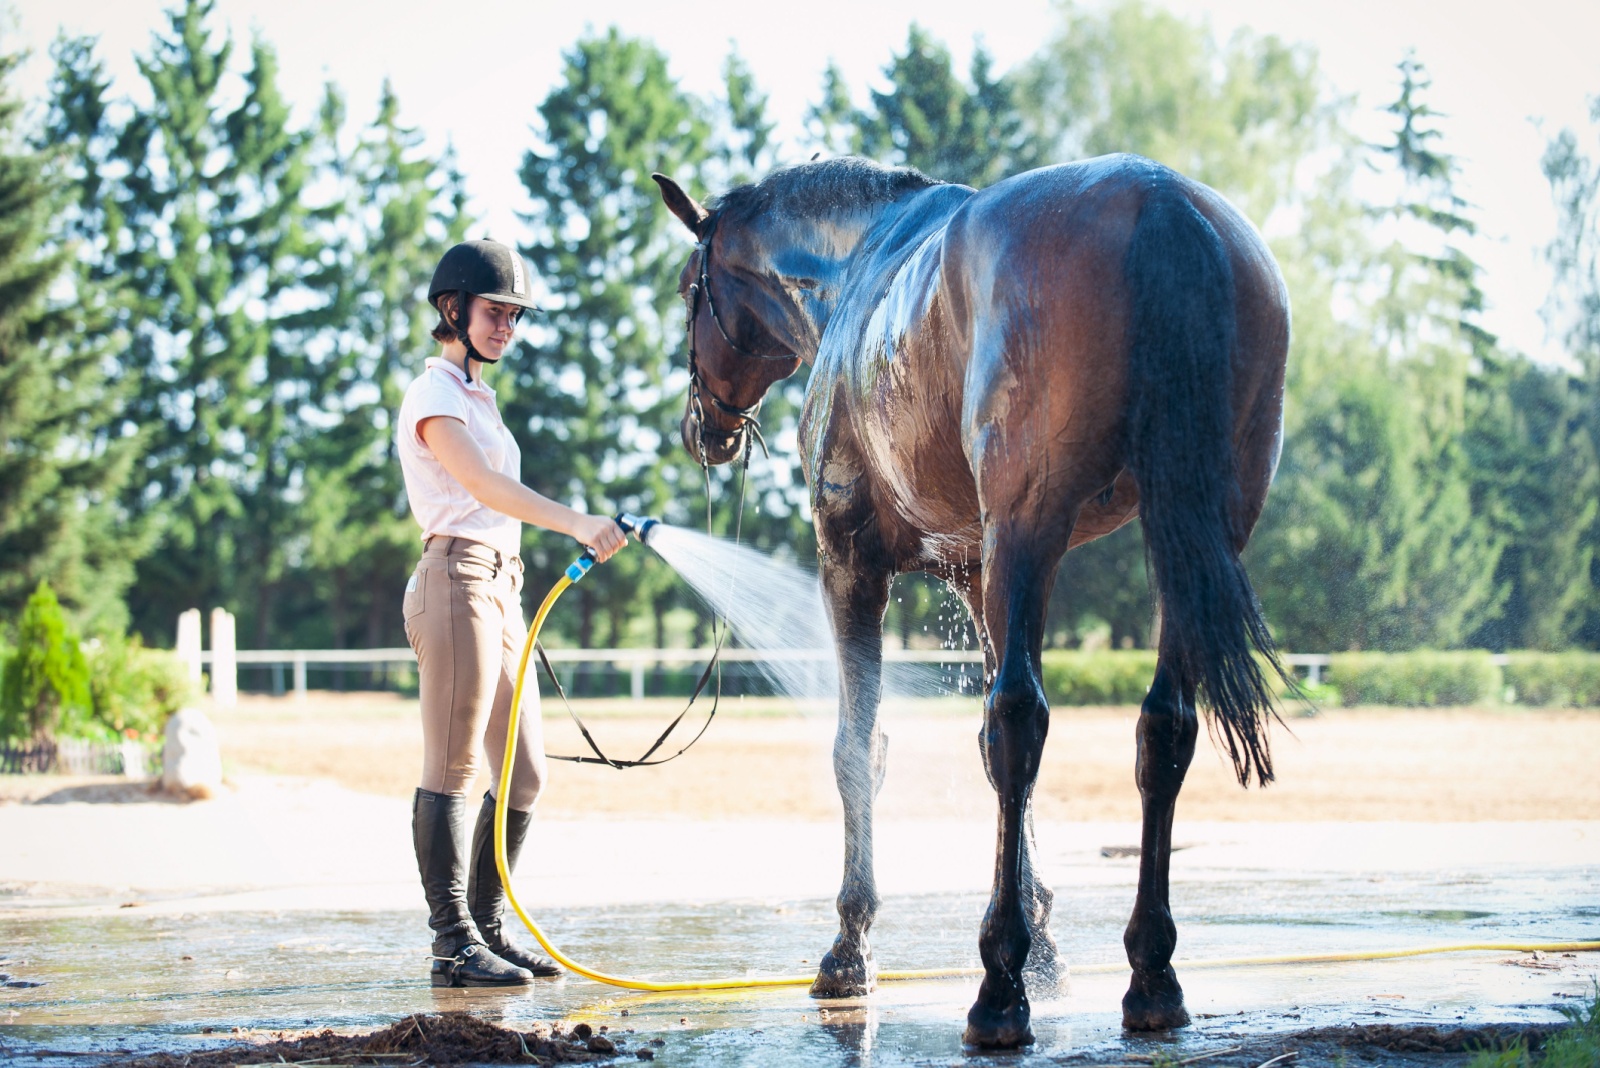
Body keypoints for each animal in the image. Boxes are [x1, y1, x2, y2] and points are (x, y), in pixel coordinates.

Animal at [649, 154, 1286, 1048]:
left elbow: (862, 748)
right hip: (1193, 534)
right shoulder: (983, 576)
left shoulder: (852, 562)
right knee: (1161, 727)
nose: (701, 428)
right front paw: (1046, 942)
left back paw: (998, 988)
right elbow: (988, 760)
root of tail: (1159, 197)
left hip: (1032, 521)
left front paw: (852, 947)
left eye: (687, 288)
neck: (855, 265)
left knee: (1021, 718)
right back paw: (1150, 974)